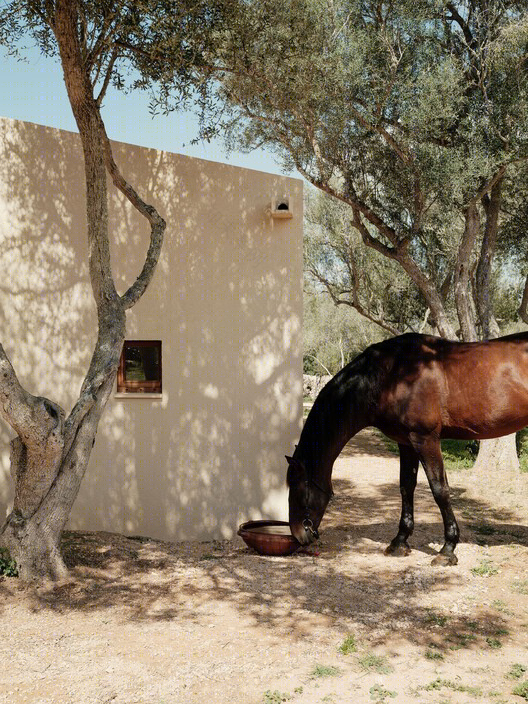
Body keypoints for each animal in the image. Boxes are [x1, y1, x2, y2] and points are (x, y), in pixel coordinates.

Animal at [286, 330, 528, 568]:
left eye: (298, 490)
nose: (298, 535)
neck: (390, 375)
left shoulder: (425, 439)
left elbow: (440, 490)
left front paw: (447, 549)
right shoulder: (406, 442)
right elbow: (406, 487)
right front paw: (400, 542)